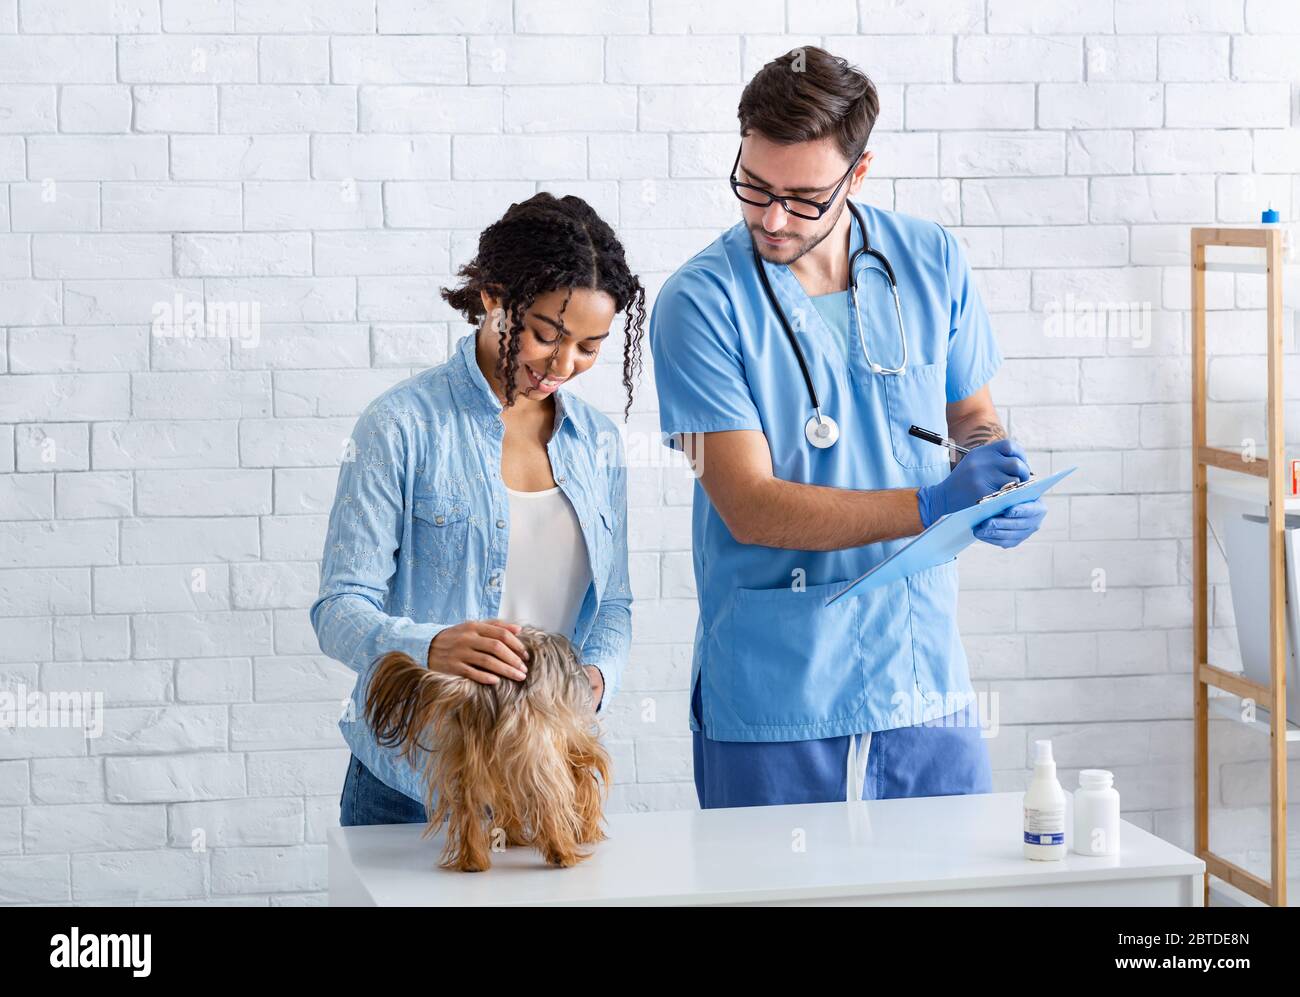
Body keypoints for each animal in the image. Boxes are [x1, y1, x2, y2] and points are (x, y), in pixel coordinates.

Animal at [364, 631, 611, 873]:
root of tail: (481, 689)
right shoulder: (568, 740)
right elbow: (585, 784)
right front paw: (587, 831)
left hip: (464, 751)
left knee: (467, 805)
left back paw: (472, 860)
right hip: (537, 751)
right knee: (546, 798)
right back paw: (563, 854)